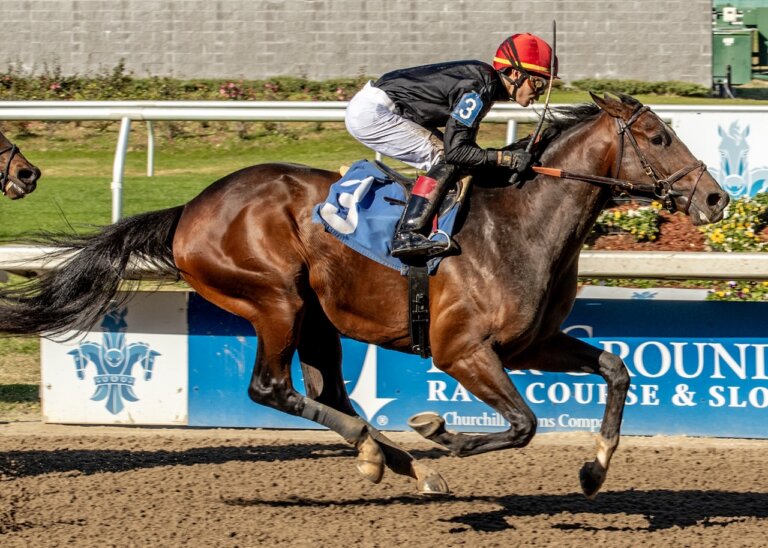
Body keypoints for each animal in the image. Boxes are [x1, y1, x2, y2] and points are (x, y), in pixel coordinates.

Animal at [0, 93, 728, 497]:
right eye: (659, 137)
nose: (717, 198)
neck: (518, 224)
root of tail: (189, 211)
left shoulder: (532, 344)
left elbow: (616, 369)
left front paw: (595, 469)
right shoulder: (462, 351)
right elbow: (522, 424)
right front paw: (440, 433)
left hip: (318, 318)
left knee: (326, 392)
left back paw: (395, 461)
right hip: (275, 299)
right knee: (271, 387)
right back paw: (387, 453)